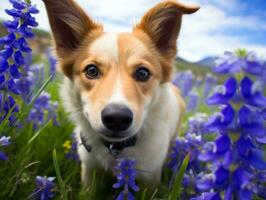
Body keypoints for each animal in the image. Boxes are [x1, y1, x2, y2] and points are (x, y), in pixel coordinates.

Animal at [43, 0, 197, 186]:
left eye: (143, 73)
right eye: (91, 70)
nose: (117, 118)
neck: (116, 148)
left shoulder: (150, 177)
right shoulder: (90, 168)